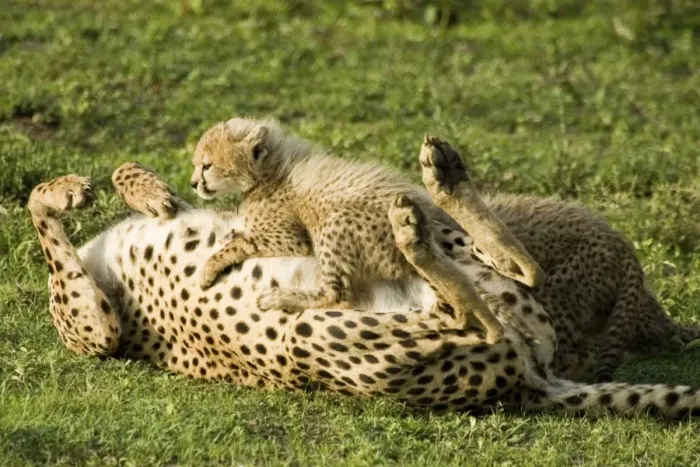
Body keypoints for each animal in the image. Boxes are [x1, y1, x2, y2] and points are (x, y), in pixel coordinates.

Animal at [190, 118, 543, 325]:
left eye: (206, 166)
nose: (193, 183)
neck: (270, 170)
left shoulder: (291, 238)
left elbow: (242, 241)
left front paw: (209, 267)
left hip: (335, 225)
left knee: (338, 295)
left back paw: (281, 298)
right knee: (520, 267)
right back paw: (445, 178)